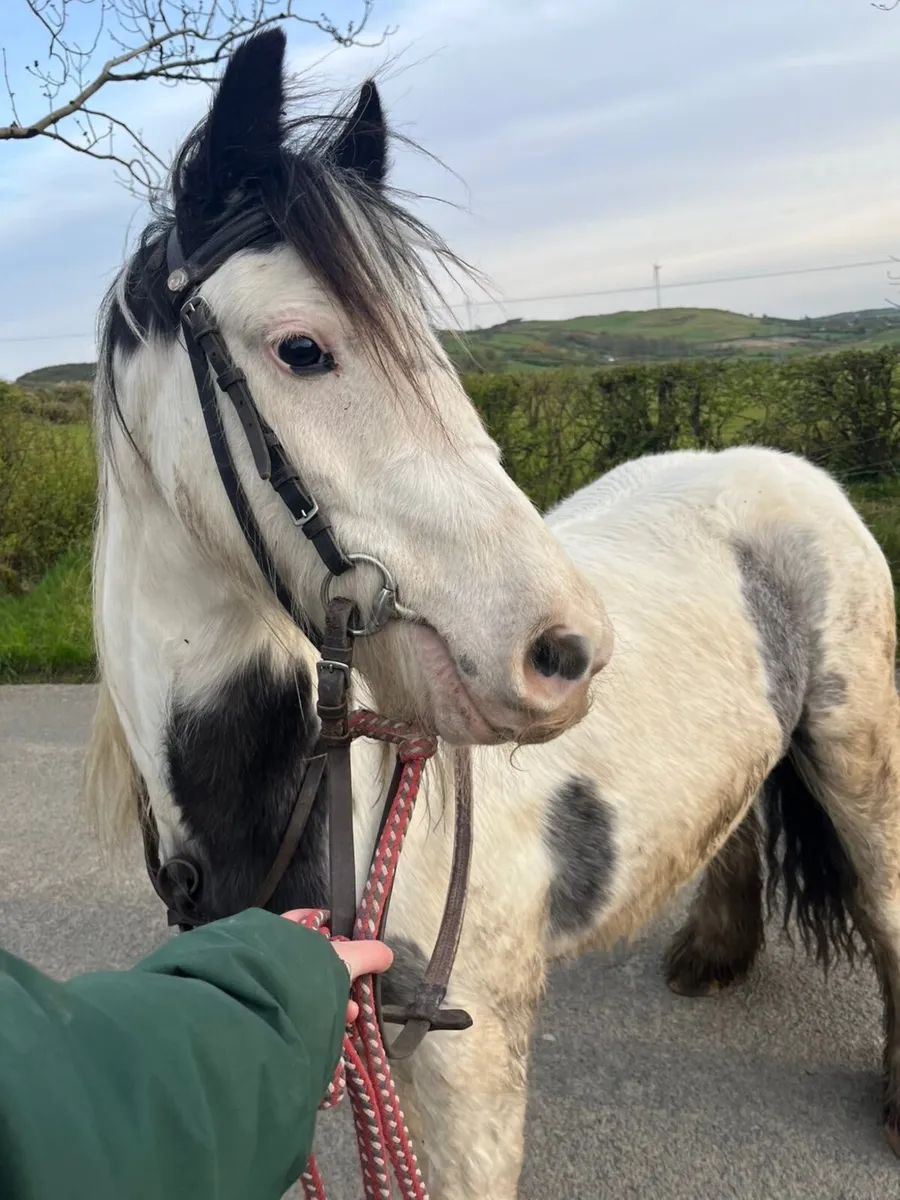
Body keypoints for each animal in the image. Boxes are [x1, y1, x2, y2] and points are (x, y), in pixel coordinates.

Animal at [84, 27, 900, 1199]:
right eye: (302, 349)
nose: (565, 653)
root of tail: (780, 465)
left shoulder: (463, 1077)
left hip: (858, 751)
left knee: (886, 906)